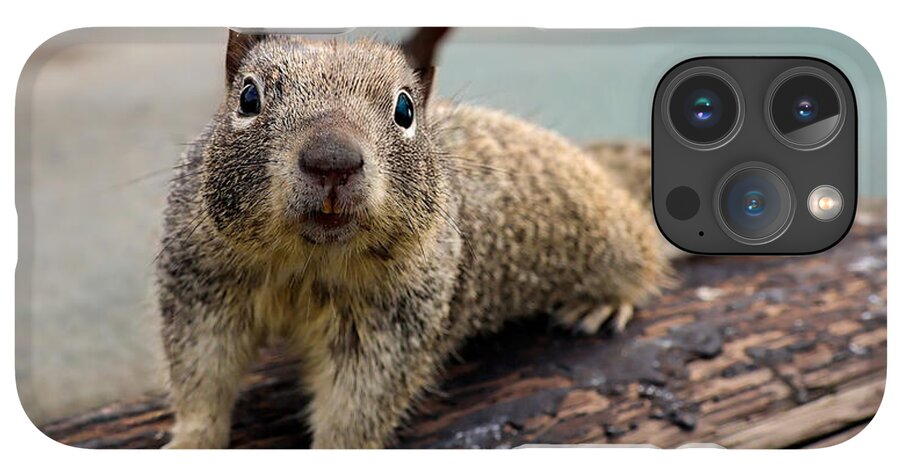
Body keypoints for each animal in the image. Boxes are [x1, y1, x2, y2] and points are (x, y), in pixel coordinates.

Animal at [158, 28, 672, 449]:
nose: (332, 160)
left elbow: (357, 406)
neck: (309, 263)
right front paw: (189, 444)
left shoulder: (393, 322)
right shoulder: (203, 285)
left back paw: (601, 302)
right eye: (248, 97)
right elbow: (202, 377)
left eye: (405, 109)